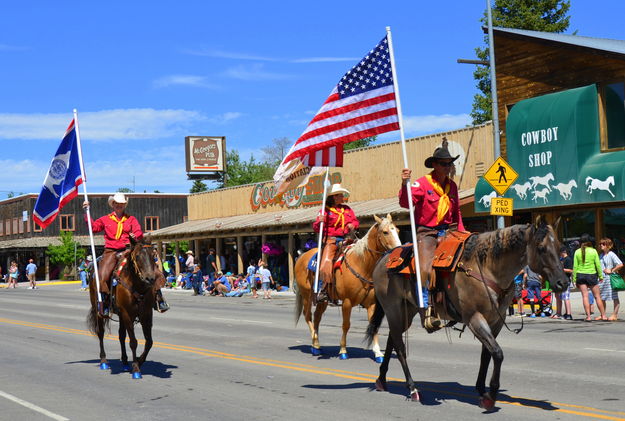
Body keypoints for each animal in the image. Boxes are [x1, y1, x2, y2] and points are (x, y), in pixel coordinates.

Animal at [86, 236, 157, 378]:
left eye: (153, 255)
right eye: (138, 256)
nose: (150, 279)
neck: (137, 285)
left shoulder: (146, 315)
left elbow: (149, 342)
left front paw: (139, 361)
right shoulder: (127, 314)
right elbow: (134, 342)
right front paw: (136, 369)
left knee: (121, 335)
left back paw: (124, 362)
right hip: (99, 310)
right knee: (100, 333)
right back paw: (103, 361)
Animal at [296, 215, 402, 360]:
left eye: (397, 230)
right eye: (385, 232)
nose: (399, 252)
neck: (361, 264)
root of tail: (301, 256)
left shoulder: (372, 303)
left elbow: (373, 325)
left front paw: (378, 353)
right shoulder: (347, 302)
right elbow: (346, 325)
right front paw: (343, 350)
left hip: (322, 300)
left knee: (317, 317)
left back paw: (315, 346)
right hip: (306, 295)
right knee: (308, 316)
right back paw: (316, 343)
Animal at [364, 215, 568, 408]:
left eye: (559, 246)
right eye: (541, 248)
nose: (563, 283)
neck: (487, 267)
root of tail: (384, 258)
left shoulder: (496, 320)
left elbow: (487, 354)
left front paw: (482, 390)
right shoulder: (474, 318)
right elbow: (497, 353)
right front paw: (491, 396)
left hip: (408, 310)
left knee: (392, 339)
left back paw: (382, 380)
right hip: (394, 309)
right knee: (399, 346)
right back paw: (412, 388)